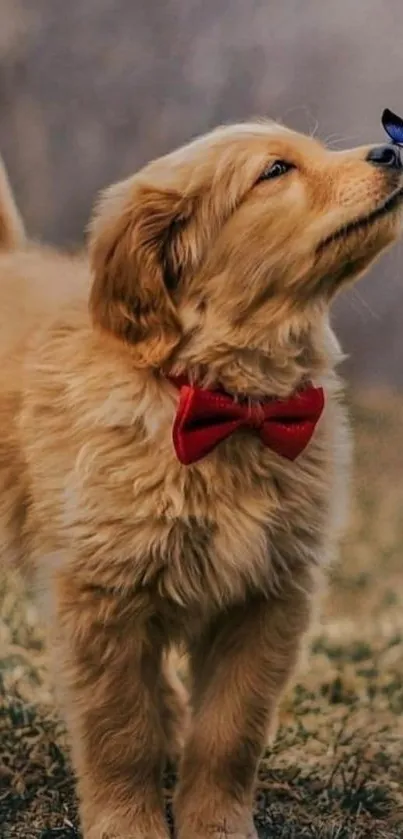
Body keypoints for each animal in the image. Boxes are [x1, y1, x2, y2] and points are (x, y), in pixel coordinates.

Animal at [0, 120, 403, 839]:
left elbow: (229, 733)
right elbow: (118, 730)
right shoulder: (100, 599)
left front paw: (217, 826)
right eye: (275, 171)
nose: (393, 150)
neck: (229, 404)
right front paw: (128, 826)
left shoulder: (268, 598)